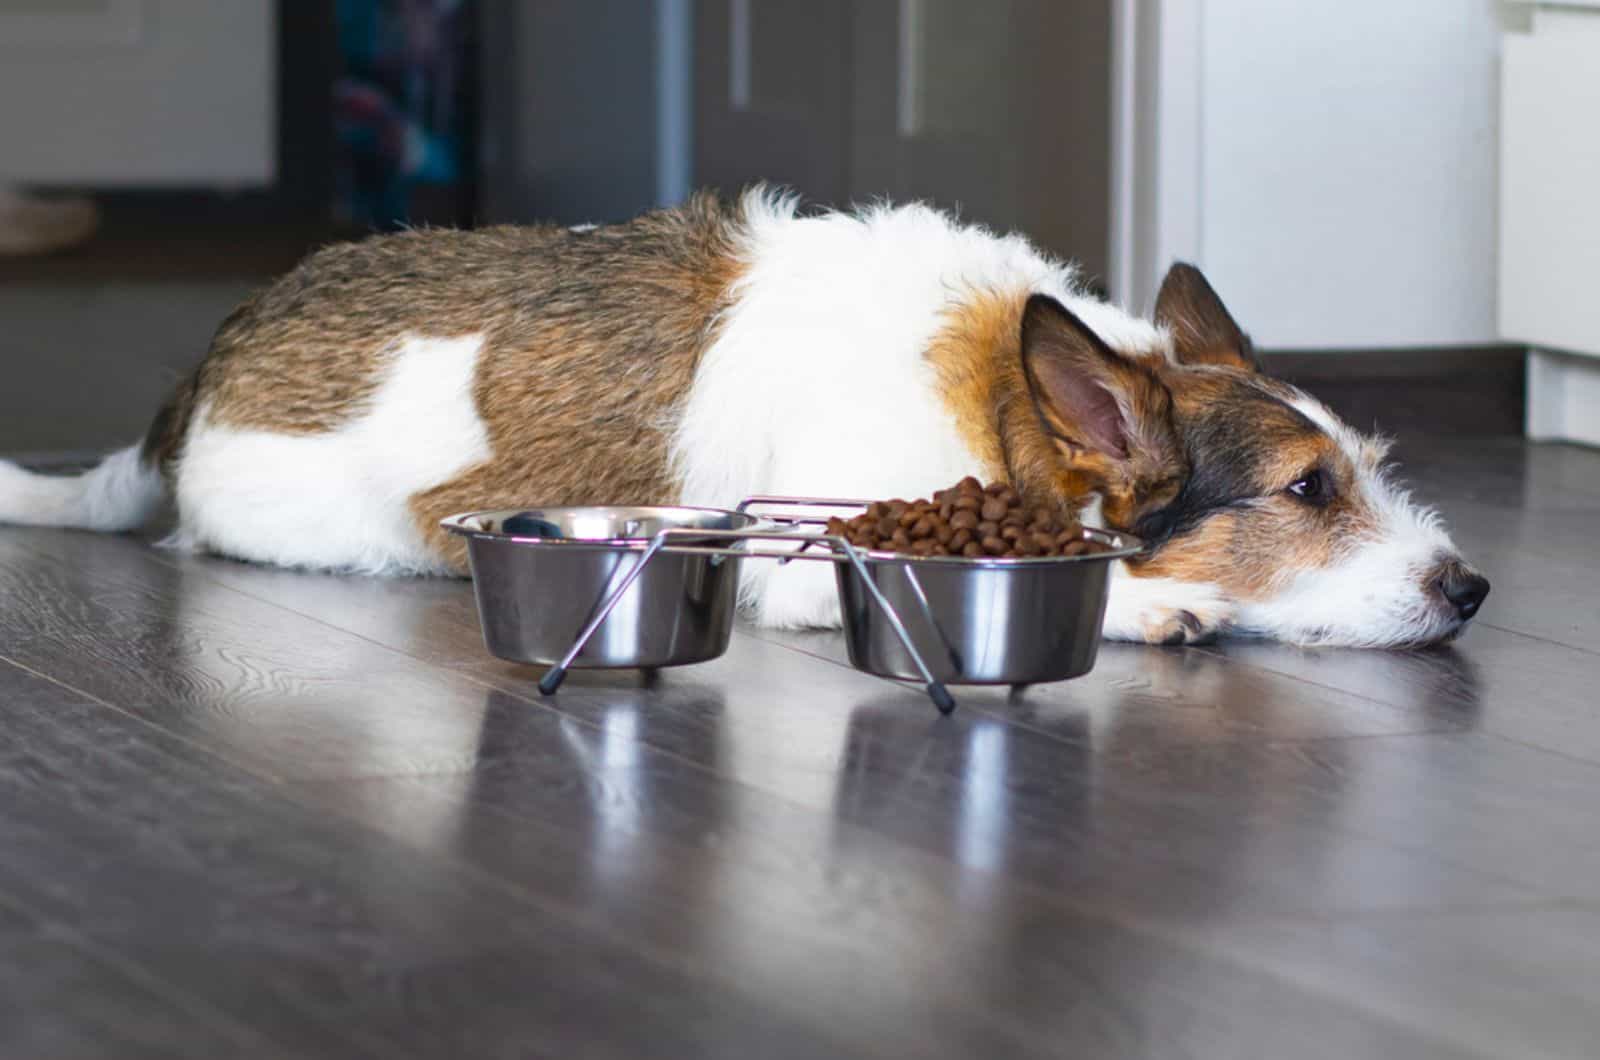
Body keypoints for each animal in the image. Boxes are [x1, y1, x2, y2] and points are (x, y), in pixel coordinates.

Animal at [0, 188, 1484, 646]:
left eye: (1369, 469)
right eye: (1306, 492)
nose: (1469, 590)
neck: (1001, 404)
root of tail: (202, 375)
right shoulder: (811, 566)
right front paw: (1148, 604)